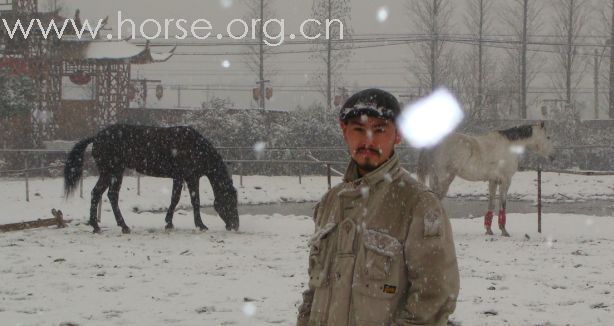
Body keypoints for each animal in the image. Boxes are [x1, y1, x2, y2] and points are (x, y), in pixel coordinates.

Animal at [64, 123, 241, 233]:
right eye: (230, 201)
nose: (235, 225)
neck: (196, 147)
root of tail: (96, 137)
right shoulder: (190, 177)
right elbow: (192, 200)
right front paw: (200, 225)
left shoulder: (181, 177)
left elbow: (177, 199)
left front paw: (170, 222)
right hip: (112, 172)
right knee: (107, 195)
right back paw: (118, 226)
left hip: (111, 173)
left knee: (101, 194)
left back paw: (101, 226)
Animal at [418, 123, 560, 236]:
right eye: (548, 137)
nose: (554, 156)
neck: (509, 146)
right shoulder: (506, 181)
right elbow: (503, 204)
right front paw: (504, 231)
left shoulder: (493, 181)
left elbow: (491, 204)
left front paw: (488, 230)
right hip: (444, 179)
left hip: (435, 178)